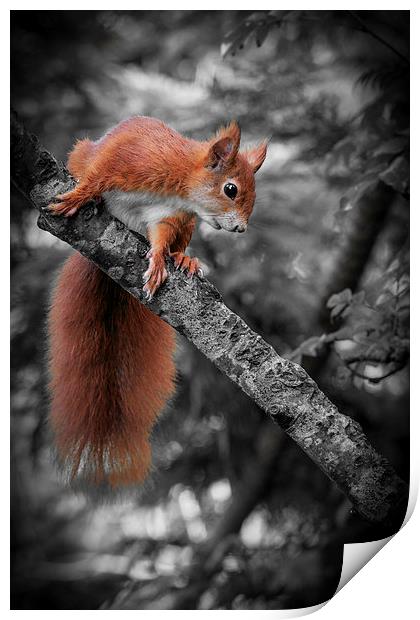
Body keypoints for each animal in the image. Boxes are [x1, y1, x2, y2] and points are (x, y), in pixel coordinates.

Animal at [48, 115, 266, 484]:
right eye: (231, 189)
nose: (240, 229)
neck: (180, 183)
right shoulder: (128, 160)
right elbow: (96, 177)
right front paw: (77, 195)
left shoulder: (168, 216)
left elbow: (162, 236)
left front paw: (160, 260)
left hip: (187, 227)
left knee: (177, 243)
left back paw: (184, 259)